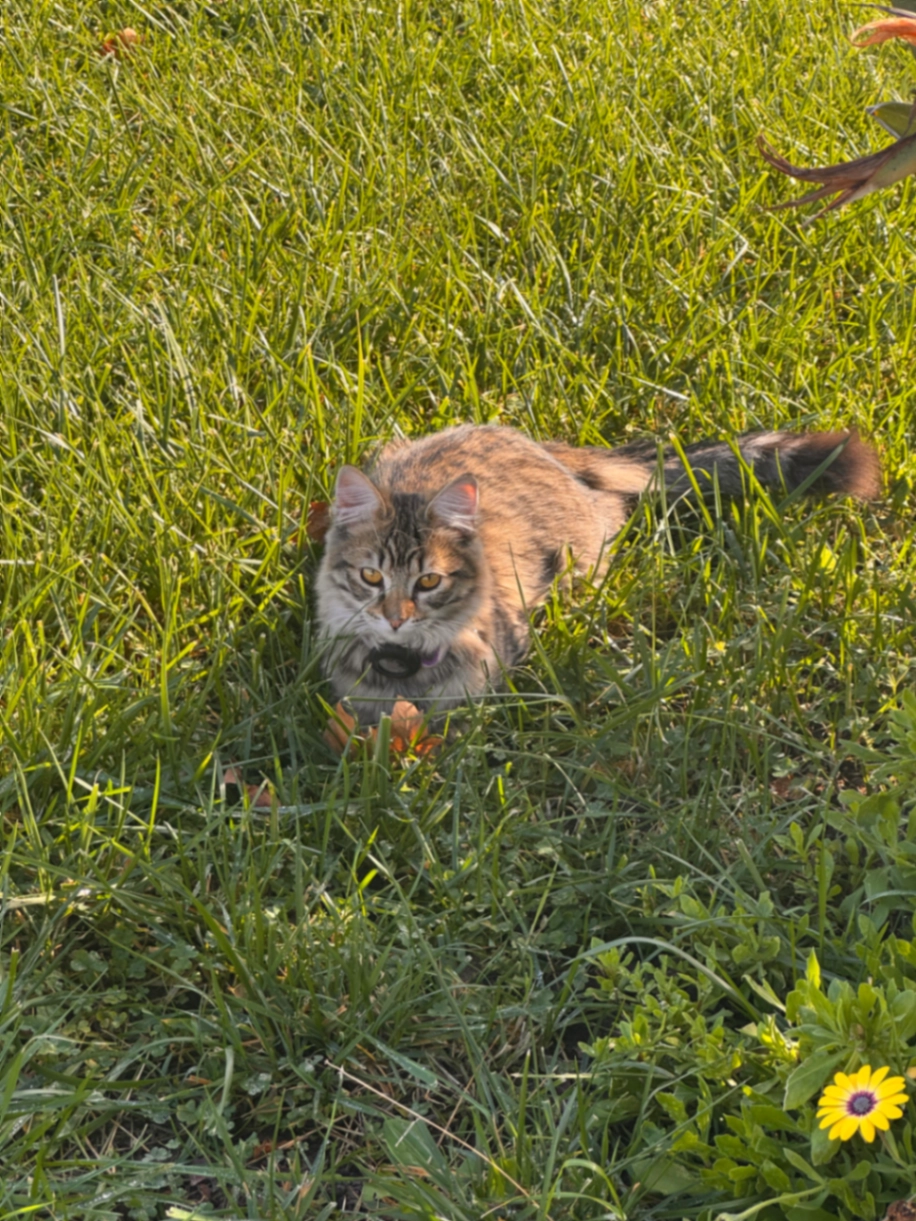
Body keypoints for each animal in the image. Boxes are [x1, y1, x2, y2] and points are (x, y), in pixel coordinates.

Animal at [315, 424, 880, 724]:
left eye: (429, 582)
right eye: (371, 578)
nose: (394, 619)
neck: (403, 671)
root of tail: (546, 448)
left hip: (584, 558)